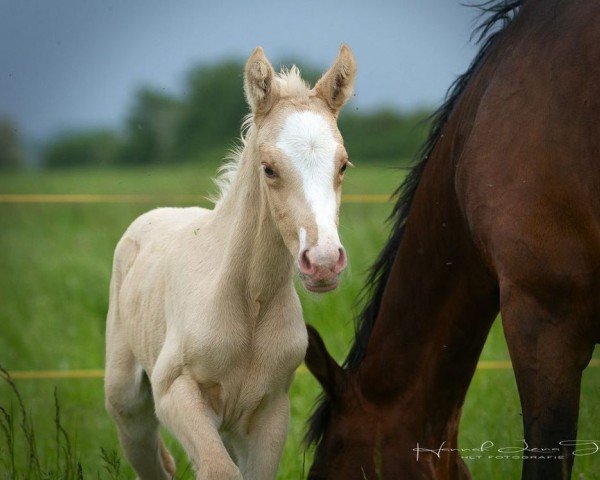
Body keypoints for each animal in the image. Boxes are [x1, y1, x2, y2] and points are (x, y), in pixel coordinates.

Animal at [105, 46, 356, 480]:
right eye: (269, 168)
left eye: (342, 165)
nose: (323, 262)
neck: (248, 304)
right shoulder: (175, 393)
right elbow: (218, 470)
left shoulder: (269, 414)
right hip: (128, 405)